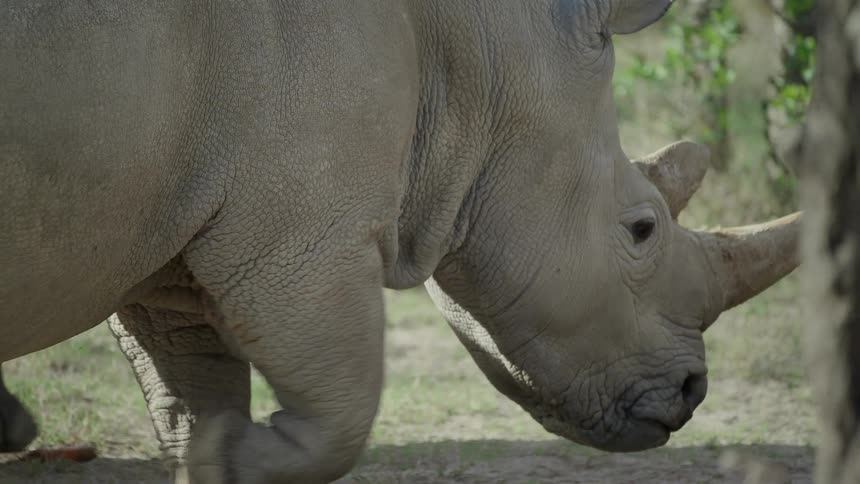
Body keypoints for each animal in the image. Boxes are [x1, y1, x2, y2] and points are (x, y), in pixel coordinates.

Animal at [1, 0, 800, 482]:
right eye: (641, 229)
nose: (693, 393)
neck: (479, 54)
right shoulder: (298, 239)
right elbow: (345, 408)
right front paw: (237, 454)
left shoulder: (173, 225)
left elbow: (190, 387)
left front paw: (207, 455)